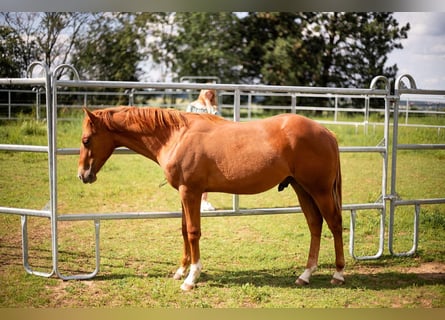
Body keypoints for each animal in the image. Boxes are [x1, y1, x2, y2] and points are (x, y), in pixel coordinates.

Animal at [78, 107, 346, 290]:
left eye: (86, 140)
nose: (83, 175)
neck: (176, 136)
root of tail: (327, 132)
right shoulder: (183, 193)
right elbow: (184, 230)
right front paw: (181, 270)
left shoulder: (191, 192)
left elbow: (193, 232)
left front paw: (191, 278)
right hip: (302, 189)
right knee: (315, 224)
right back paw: (305, 275)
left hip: (319, 190)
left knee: (334, 223)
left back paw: (338, 274)